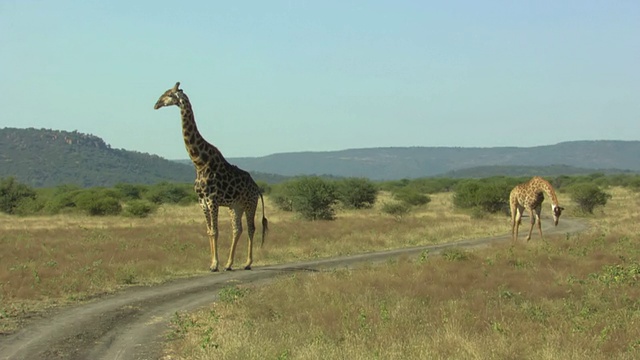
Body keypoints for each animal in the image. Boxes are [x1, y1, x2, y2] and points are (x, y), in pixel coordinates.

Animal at [154, 81, 268, 272]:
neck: (199, 162)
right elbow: (209, 231)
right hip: (235, 206)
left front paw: (215, 264)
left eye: (169, 94)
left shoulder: (212, 200)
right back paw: (229, 264)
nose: (156, 104)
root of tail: (257, 187)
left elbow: (215, 231)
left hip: (249, 203)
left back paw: (247, 263)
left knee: (251, 228)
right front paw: (213, 263)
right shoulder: (202, 201)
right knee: (237, 229)